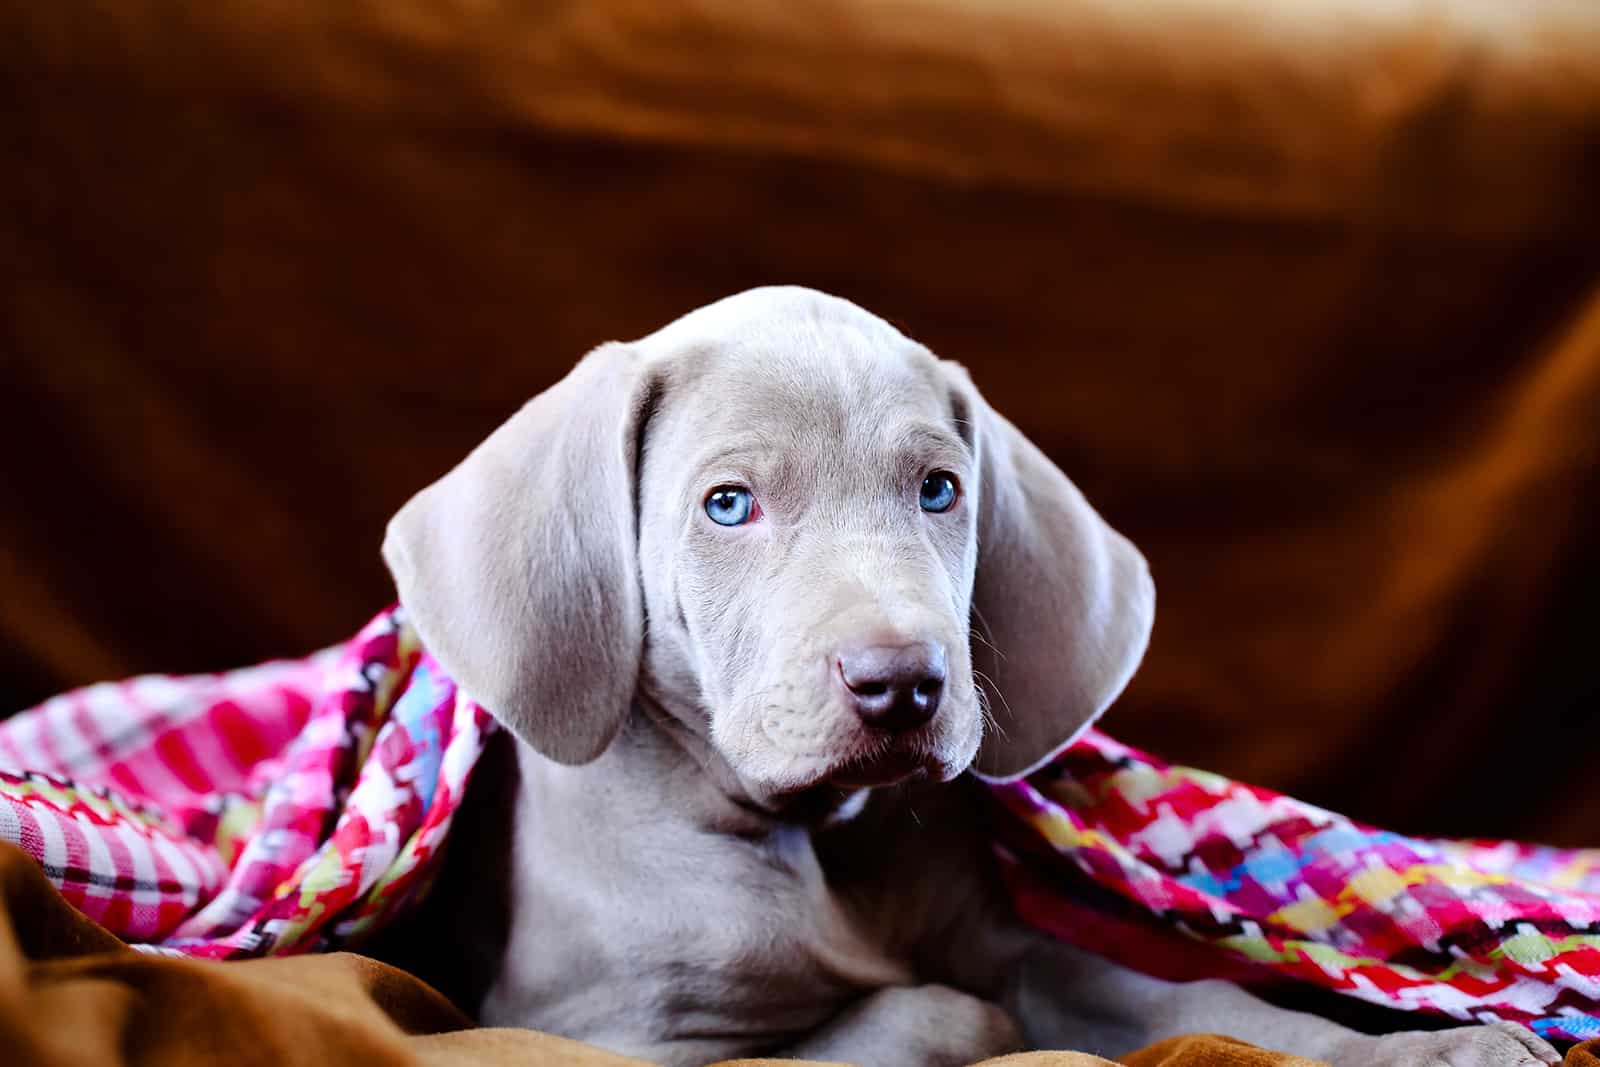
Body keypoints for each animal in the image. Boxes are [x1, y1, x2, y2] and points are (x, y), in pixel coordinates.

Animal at [377, 287, 1561, 1067]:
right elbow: (936, 1011)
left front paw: (1433, 1050)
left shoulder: (1013, 944)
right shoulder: (609, 1031)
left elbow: (1204, 1003)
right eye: (727, 504)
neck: (817, 844)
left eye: (939, 488)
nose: (901, 683)